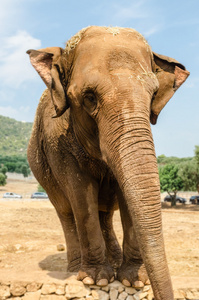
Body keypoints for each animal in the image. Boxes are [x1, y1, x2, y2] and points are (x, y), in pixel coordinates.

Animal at [26, 26, 190, 300]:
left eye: (153, 95)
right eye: (89, 97)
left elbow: (128, 196)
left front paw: (134, 280)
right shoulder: (58, 143)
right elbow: (81, 195)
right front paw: (97, 280)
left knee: (104, 214)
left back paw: (112, 262)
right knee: (66, 213)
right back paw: (75, 270)